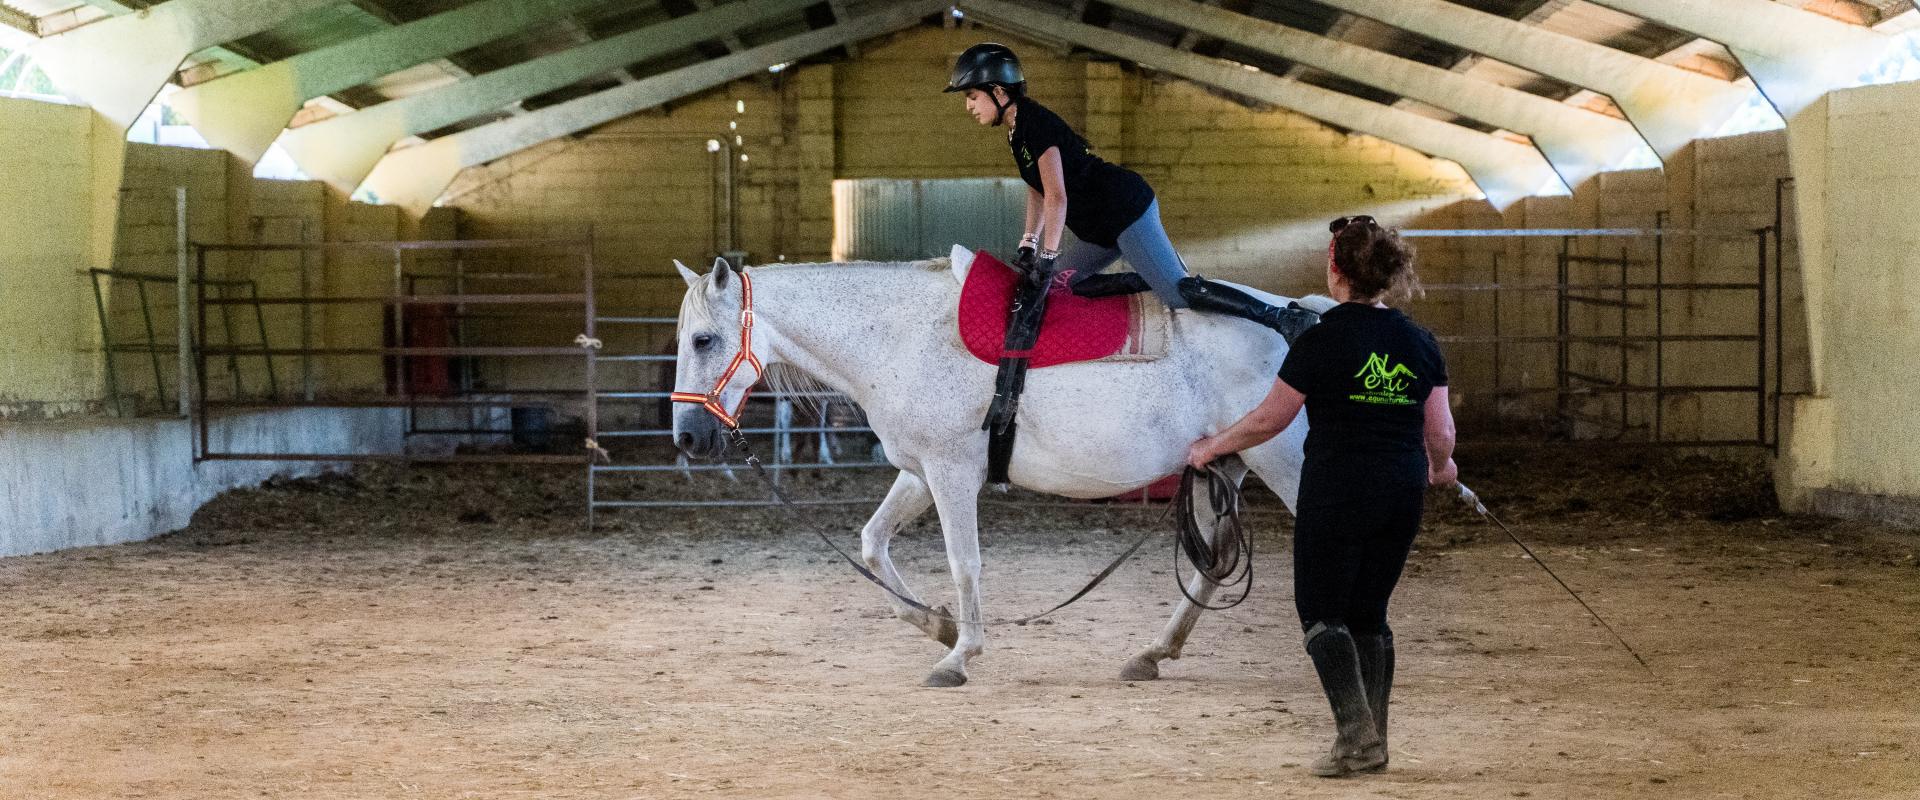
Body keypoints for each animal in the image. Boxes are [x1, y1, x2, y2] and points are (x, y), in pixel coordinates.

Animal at [668, 249, 1328, 686]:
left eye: (703, 340)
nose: (688, 436)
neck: (902, 335)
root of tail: (1311, 317)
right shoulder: (919, 471)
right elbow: (873, 544)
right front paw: (935, 624)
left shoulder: (952, 472)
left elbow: (965, 563)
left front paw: (960, 653)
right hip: (1231, 463)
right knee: (1213, 564)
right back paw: (1154, 653)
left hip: (1284, 464)